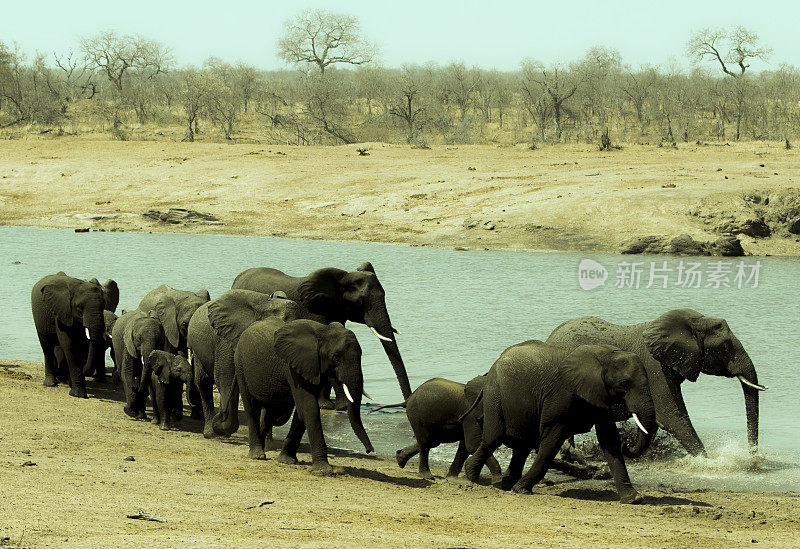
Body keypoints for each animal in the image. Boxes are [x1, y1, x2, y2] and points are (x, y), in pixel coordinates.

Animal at [184, 286, 300, 436]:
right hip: (197, 347)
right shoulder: (225, 339)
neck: (267, 305)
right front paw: (221, 425)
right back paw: (211, 432)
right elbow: (225, 378)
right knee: (203, 381)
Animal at [230, 260, 406, 406]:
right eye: (360, 302)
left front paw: (331, 405)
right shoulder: (316, 311)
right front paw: (333, 406)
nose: (403, 404)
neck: (341, 279)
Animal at [234, 318, 376, 474]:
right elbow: (309, 408)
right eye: (335, 357)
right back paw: (257, 455)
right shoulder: (292, 366)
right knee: (252, 408)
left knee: (272, 414)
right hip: (240, 364)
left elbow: (302, 411)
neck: (322, 331)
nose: (369, 450)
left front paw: (286, 460)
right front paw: (324, 470)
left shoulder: (313, 368)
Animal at [462, 340, 656, 504]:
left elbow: (609, 439)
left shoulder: (598, 393)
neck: (601, 354)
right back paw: (472, 476)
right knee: (493, 439)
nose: (627, 445)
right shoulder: (560, 398)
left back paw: (504, 485)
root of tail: (493, 366)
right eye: (624, 383)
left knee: (522, 447)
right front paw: (522, 490)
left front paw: (633, 499)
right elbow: (552, 441)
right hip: (495, 396)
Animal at [548, 308, 764, 454]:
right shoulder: (654, 368)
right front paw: (709, 462)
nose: (752, 459)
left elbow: (653, 419)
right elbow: (671, 416)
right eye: (725, 346)